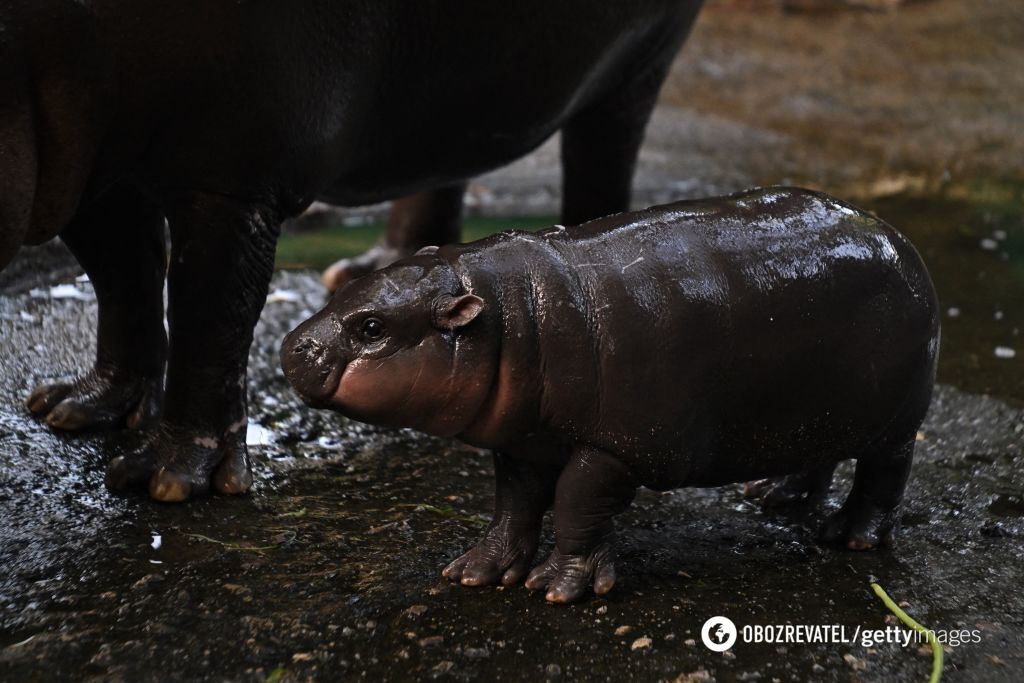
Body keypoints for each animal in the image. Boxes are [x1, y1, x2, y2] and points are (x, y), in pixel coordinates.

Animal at [0, 1, 704, 501]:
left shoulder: (232, 177)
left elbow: (207, 314)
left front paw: (165, 481)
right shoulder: (86, 169)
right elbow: (125, 282)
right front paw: (76, 409)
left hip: (639, 63)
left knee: (602, 156)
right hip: (446, 93)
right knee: (442, 159)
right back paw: (370, 269)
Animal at [278, 185, 937, 602]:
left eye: (372, 327)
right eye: (349, 286)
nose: (292, 347)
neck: (514, 317)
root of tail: (895, 235)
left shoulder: (617, 447)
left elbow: (574, 501)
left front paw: (556, 588)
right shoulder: (525, 441)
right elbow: (513, 505)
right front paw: (475, 572)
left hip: (895, 418)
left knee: (885, 473)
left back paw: (850, 537)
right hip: (818, 404)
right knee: (819, 453)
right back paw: (774, 496)